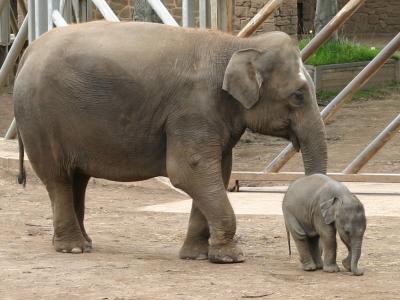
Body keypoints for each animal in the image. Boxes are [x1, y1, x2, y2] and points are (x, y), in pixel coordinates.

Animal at [14, 22, 326, 264]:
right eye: (298, 95)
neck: (239, 44)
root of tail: (29, 50)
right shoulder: (193, 110)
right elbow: (190, 171)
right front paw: (230, 258)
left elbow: (217, 171)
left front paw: (197, 256)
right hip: (41, 120)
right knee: (59, 178)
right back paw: (73, 248)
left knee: (78, 179)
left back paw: (85, 243)